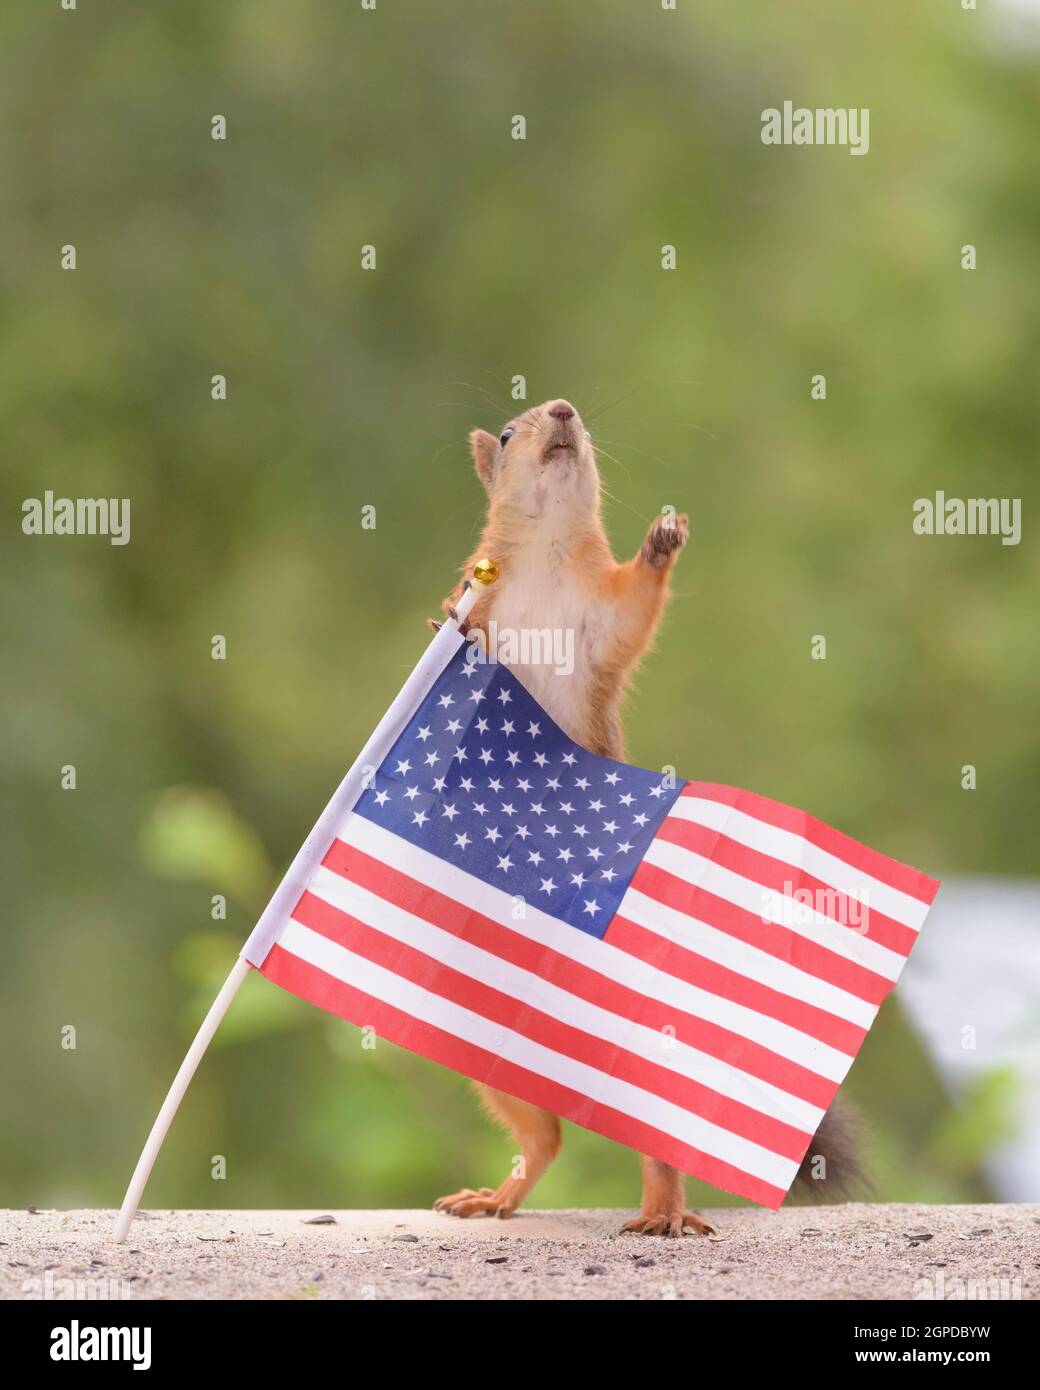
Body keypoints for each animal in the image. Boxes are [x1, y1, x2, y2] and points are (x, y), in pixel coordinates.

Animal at [432, 397, 861, 1236]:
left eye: (572, 414)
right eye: (509, 433)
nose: (563, 412)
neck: (545, 554)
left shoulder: (601, 621)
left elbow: (632, 612)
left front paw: (662, 542)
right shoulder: (486, 597)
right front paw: (443, 626)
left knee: (649, 1150)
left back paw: (664, 1213)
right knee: (545, 1139)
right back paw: (496, 1196)